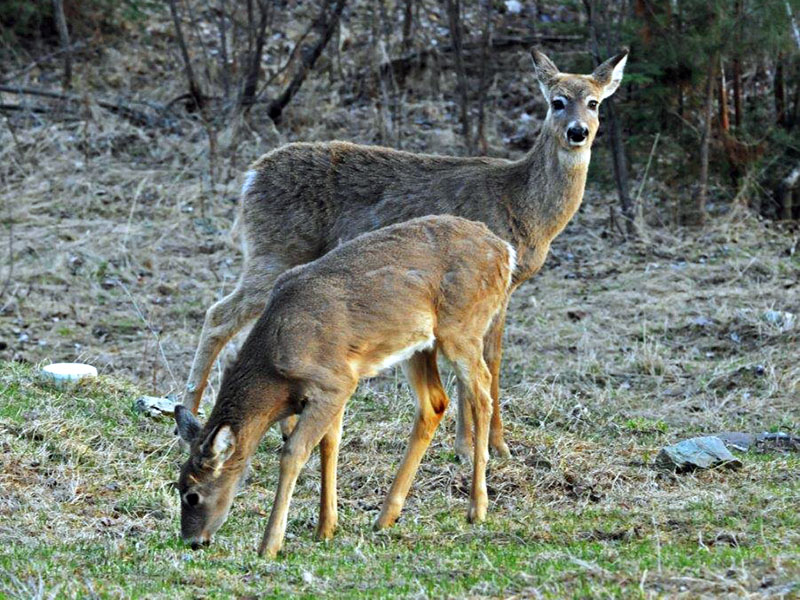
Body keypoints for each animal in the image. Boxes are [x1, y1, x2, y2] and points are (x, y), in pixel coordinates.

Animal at [172, 215, 515, 557]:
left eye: (192, 494)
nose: (192, 541)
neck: (275, 370)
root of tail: (504, 250)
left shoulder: (335, 382)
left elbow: (293, 453)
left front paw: (270, 545)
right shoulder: (334, 389)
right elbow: (330, 444)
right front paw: (326, 527)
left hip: (462, 328)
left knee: (482, 391)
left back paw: (477, 508)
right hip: (418, 345)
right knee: (435, 403)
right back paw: (386, 516)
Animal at [180, 48, 628, 463]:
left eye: (594, 102)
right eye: (557, 100)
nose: (577, 132)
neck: (520, 203)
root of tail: (250, 177)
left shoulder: (500, 292)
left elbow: (493, 360)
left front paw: (489, 446)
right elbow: (479, 365)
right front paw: (476, 448)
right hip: (275, 250)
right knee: (219, 314)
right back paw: (188, 418)